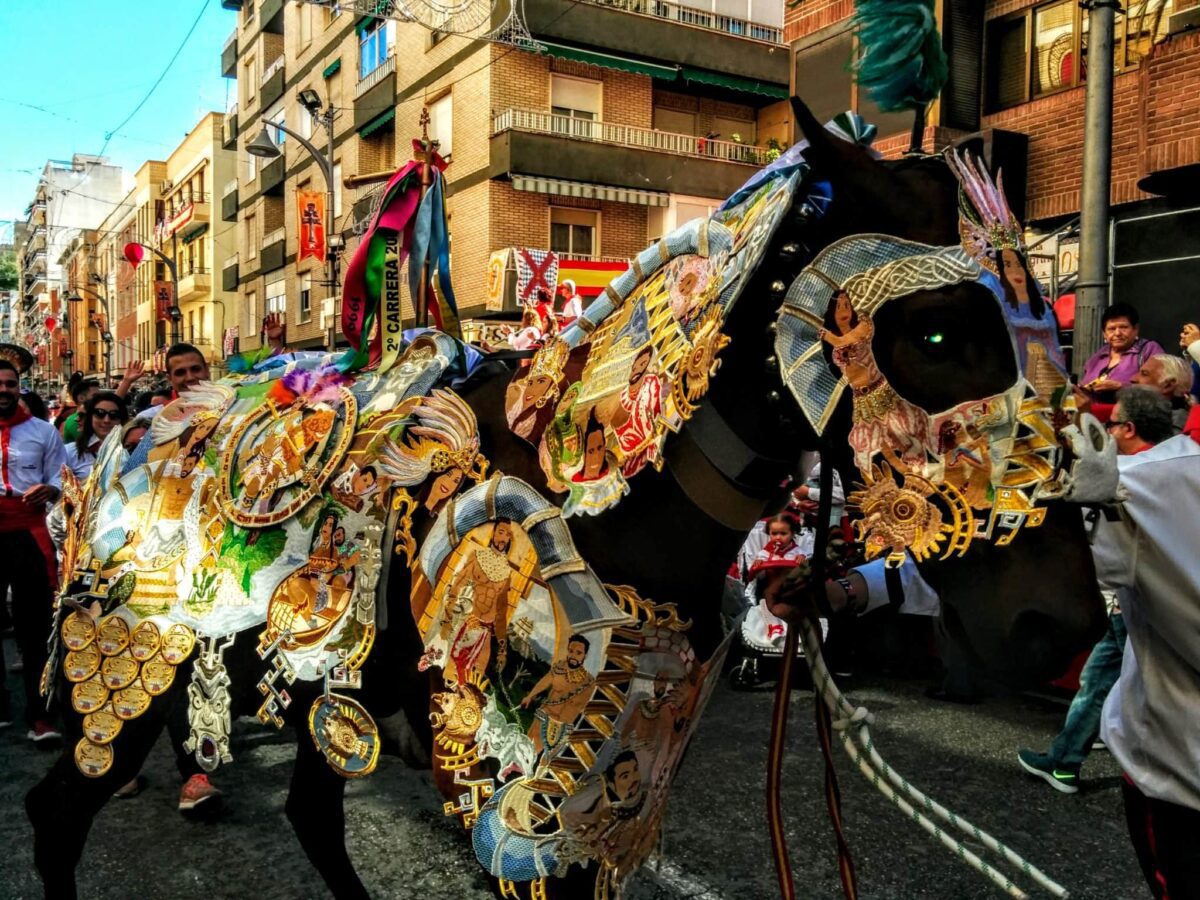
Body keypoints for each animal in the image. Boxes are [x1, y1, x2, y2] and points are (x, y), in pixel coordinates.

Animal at [23, 38, 1108, 897]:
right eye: (935, 332)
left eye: (1053, 330)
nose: (1059, 624)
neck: (608, 498)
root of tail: (128, 429)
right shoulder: (517, 784)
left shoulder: (621, 775)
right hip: (135, 654)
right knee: (58, 809)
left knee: (312, 815)